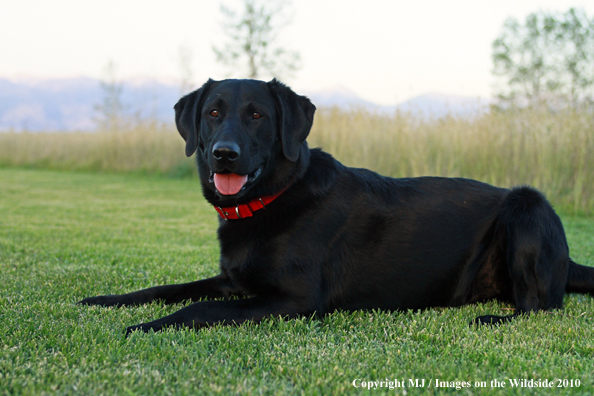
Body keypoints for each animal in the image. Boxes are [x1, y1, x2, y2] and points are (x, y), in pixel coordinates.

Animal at [80, 79, 592, 336]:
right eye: (212, 113)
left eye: (256, 115)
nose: (224, 153)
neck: (274, 199)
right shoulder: (234, 281)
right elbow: (166, 288)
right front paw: (106, 301)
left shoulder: (295, 300)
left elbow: (198, 310)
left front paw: (143, 327)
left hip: (527, 204)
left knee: (542, 306)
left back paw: (491, 318)